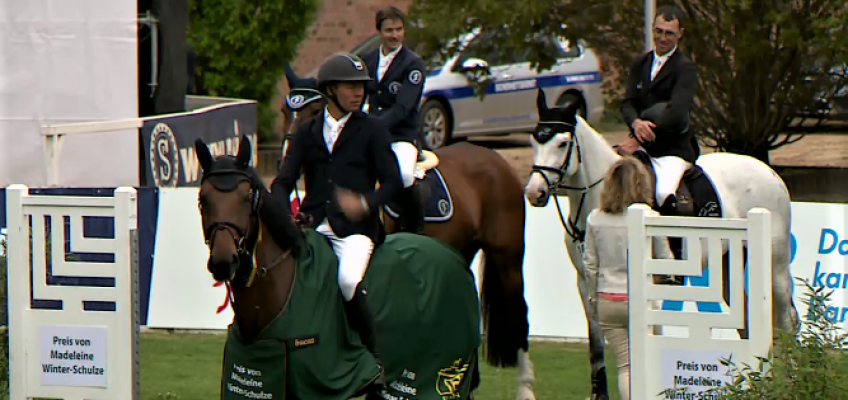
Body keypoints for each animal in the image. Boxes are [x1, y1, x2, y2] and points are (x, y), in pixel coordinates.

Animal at [524, 89, 796, 400]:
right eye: (533, 140)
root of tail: (768, 172)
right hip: (729, 264)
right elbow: (596, 344)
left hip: (775, 264)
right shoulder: (586, 282)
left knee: (787, 320)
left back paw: (790, 381)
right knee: (748, 323)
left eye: (562, 143)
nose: (534, 192)